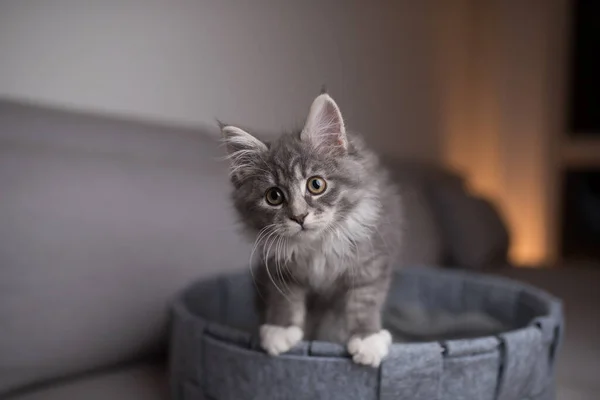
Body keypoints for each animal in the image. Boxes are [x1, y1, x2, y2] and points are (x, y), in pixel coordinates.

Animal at [220, 92, 404, 368]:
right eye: (274, 196)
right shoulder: (277, 265)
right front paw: (281, 329)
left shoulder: (372, 258)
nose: (299, 216)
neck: (316, 246)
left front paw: (367, 338)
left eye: (316, 185)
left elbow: (364, 298)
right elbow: (285, 298)